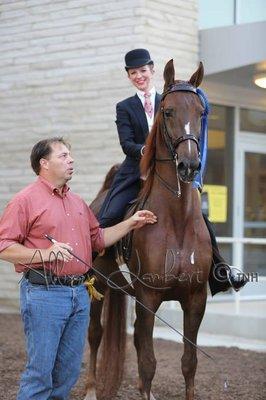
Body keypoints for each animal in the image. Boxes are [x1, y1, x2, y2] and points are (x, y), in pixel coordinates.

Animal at [84, 60, 212, 400]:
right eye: (167, 111)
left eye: (201, 112)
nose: (189, 166)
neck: (177, 222)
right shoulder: (148, 296)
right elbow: (148, 362)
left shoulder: (195, 299)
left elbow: (189, 362)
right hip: (97, 286)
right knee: (95, 333)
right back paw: (90, 389)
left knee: (137, 340)